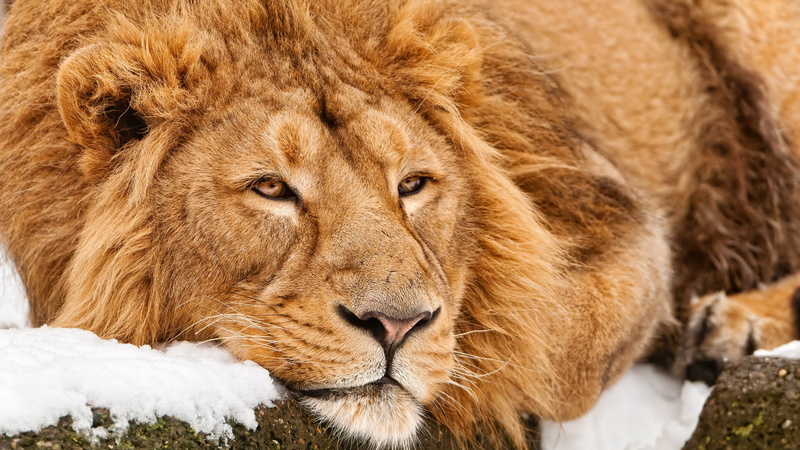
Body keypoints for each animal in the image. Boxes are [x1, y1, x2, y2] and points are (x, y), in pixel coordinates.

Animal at [1, 0, 799, 447]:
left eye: (413, 185)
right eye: (271, 188)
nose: (397, 326)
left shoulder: (606, 202)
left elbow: (556, 349)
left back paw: (732, 330)